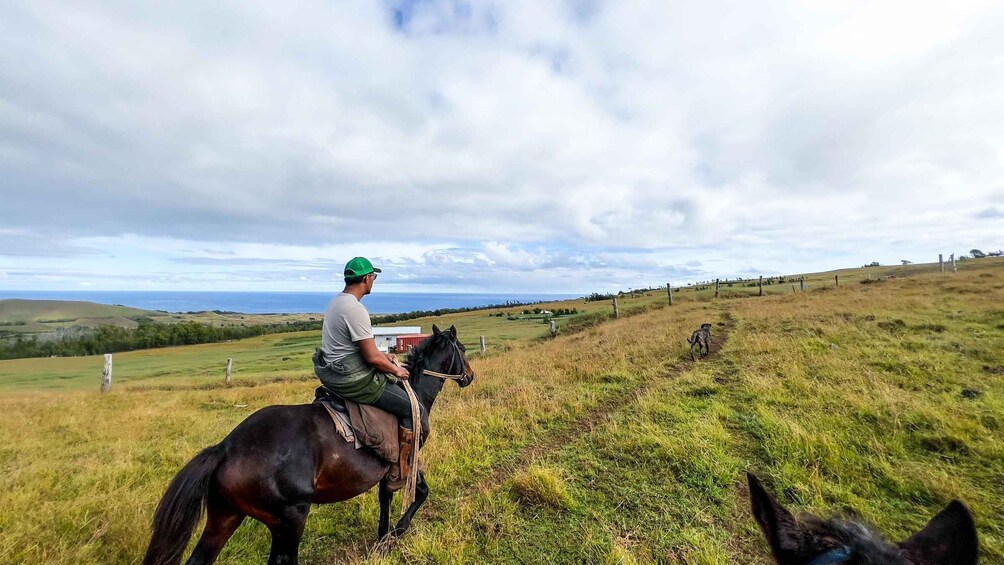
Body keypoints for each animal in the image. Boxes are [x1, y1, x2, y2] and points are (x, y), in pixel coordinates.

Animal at [141, 325, 473, 565]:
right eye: (463, 350)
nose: (469, 375)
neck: (415, 393)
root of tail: (226, 448)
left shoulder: (388, 469)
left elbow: (385, 499)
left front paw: (382, 538)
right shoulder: (409, 457)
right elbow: (420, 493)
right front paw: (397, 531)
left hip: (225, 515)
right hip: (289, 519)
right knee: (282, 561)